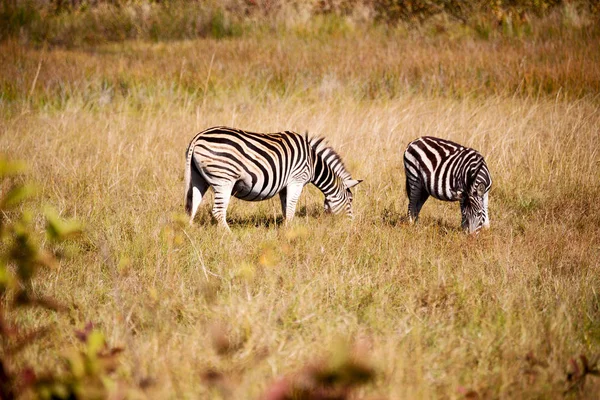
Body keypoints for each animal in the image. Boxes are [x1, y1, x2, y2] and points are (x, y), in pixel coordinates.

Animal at [183, 126, 360, 231]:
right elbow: (291, 207)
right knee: (218, 211)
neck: (313, 162)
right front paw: (289, 231)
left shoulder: (284, 185)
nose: (352, 225)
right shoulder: (296, 179)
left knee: (193, 204)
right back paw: (229, 235)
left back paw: (191, 231)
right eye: (350, 200)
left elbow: (286, 208)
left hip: (198, 178)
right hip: (224, 179)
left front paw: (286, 229)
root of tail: (198, 137)